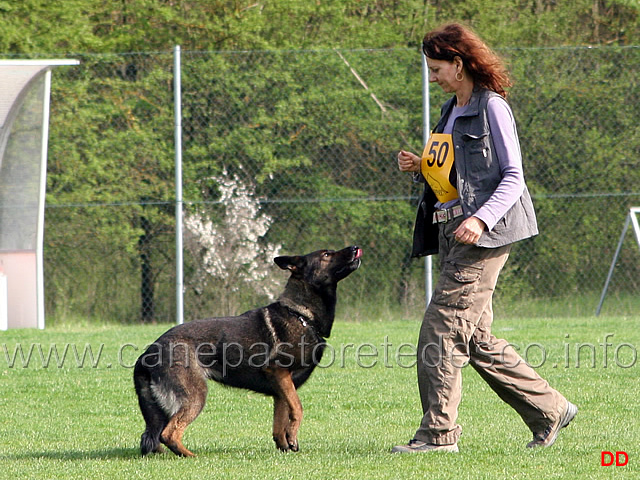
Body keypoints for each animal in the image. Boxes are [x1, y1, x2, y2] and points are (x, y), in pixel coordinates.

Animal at [132, 246, 362, 456]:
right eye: (326, 254)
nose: (355, 248)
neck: (301, 315)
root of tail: (147, 353)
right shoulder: (279, 373)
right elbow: (297, 408)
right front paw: (292, 437)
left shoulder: (281, 386)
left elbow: (279, 424)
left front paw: (284, 446)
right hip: (194, 396)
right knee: (169, 433)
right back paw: (190, 455)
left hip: (162, 407)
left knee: (151, 436)